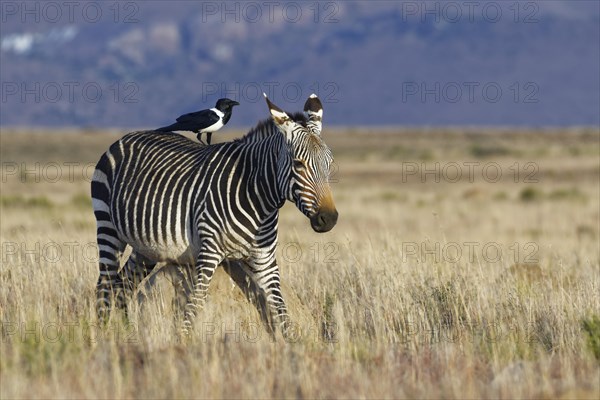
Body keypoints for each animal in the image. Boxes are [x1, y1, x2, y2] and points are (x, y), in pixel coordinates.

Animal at [92, 94, 340, 338]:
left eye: (329, 164)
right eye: (299, 164)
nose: (328, 218)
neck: (259, 199)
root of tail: (127, 136)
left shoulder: (264, 259)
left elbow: (281, 308)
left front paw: (291, 346)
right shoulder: (210, 253)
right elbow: (195, 305)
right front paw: (184, 341)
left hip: (146, 248)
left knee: (122, 286)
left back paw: (126, 333)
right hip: (108, 227)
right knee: (105, 284)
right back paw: (103, 335)